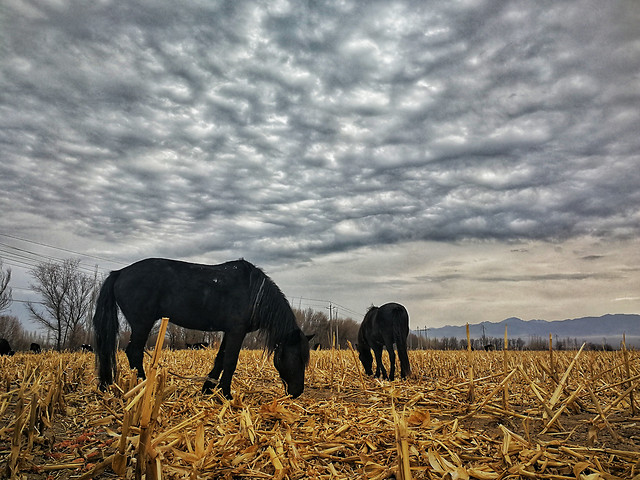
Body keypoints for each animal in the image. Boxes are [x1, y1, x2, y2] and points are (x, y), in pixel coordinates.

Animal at [93, 256, 312, 400]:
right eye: (296, 358)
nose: (297, 392)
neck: (254, 293)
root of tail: (120, 273)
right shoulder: (237, 331)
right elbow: (230, 362)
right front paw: (226, 395)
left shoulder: (229, 332)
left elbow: (220, 359)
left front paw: (208, 389)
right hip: (142, 324)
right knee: (134, 352)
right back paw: (142, 386)